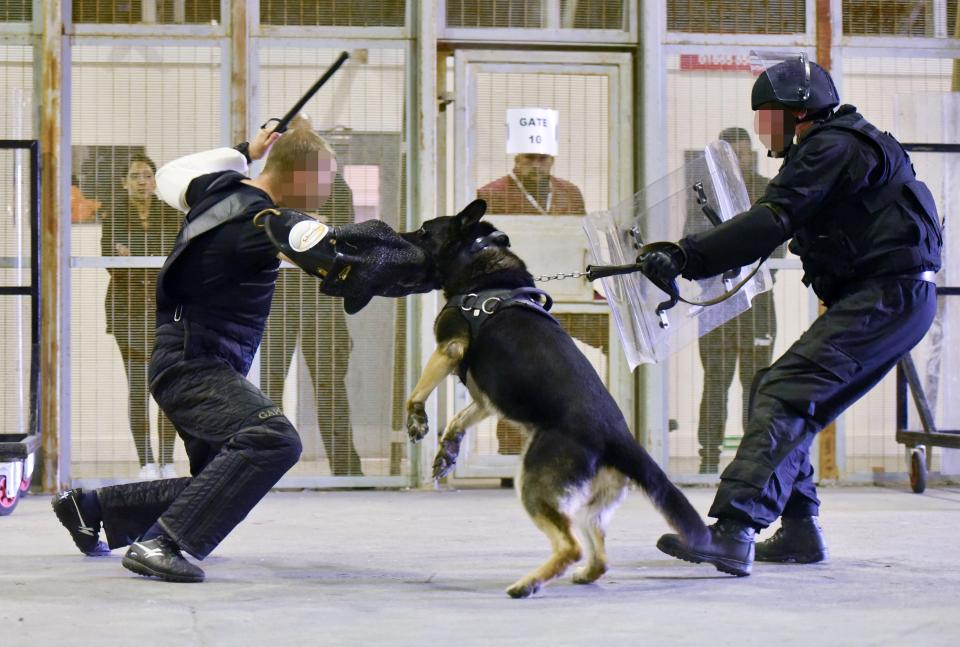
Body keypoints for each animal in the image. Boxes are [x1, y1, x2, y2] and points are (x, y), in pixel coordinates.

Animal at [402, 199, 708, 596]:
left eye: (425, 230)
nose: (397, 236)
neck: (480, 261)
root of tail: (619, 440)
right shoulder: (485, 401)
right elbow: (458, 419)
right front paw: (448, 450)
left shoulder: (449, 349)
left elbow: (416, 392)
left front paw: (417, 419)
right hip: (588, 505)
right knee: (598, 555)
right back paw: (580, 575)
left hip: (533, 483)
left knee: (570, 547)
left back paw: (528, 584)